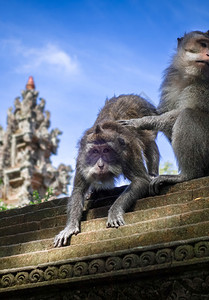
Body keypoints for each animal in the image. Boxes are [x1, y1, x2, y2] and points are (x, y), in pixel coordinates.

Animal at [53, 95, 158, 247]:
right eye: (95, 152)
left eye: (106, 150)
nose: (100, 165)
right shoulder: (81, 159)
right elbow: (78, 189)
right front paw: (70, 227)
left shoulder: (128, 152)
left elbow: (140, 180)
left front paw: (114, 211)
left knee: (148, 141)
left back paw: (153, 174)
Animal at [118, 31, 209, 195]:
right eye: (203, 44)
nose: (208, 53)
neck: (191, 77)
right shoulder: (171, 81)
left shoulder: (203, 89)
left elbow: (177, 114)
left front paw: (141, 122)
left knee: (188, 115)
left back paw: (188, 175)